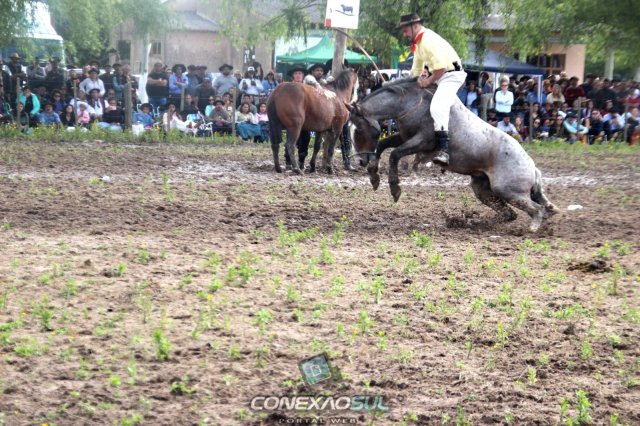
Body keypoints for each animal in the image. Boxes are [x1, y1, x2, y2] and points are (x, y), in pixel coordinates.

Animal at [349, 77, 557, 232]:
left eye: (358, 129)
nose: (360, 160)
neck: (410, 102)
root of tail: (532, 167)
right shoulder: (404, 136)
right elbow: (383, 145)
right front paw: (374, 176)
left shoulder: (423, 141)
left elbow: (394, 154)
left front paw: (395, 189)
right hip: (483, 189)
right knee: (510, 213)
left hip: (508, 190)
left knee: (536, 209)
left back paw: (533, 226)